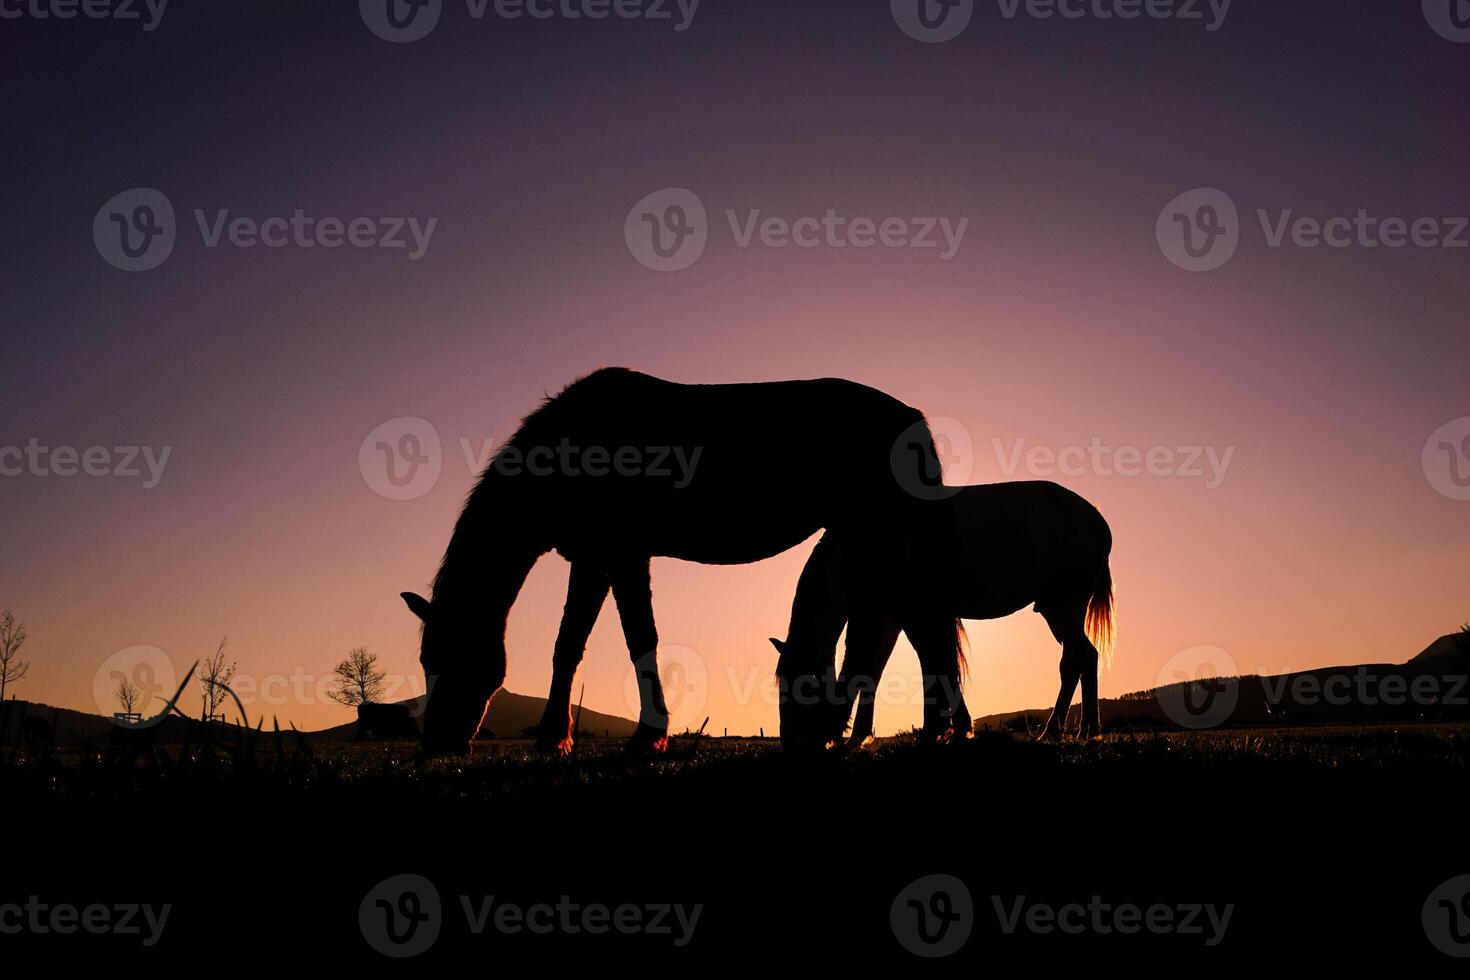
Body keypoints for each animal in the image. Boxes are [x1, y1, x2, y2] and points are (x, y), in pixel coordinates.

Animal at [402, 370, 964, 758]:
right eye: (426, 659)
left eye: (449, 657)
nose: (439, 744)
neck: (570, 447)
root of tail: (910, 416)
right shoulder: (592, 559)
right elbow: (569, 645)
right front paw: (553, 740)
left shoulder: (623, 556)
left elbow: (640, 640)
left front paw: (649, 737)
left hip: (876, 536)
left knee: (902, 629)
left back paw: (896, 732)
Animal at [776, 481, 1105, 743]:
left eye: (804, 686)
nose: (791, 743)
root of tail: (1097, 521)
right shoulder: (895, 618)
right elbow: (880, 669)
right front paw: (861, 736)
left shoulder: (915, 615)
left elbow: (934, 662)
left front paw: (940, 729)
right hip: (1053, 609)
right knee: (1083, 657)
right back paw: (1082, 730)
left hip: (1067, 603)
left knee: (1076, 659)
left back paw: (1063, 730)